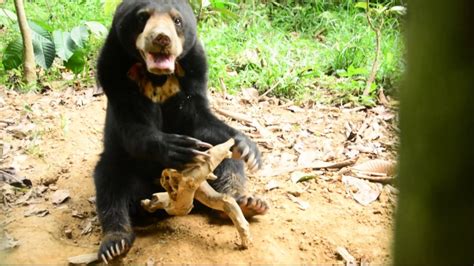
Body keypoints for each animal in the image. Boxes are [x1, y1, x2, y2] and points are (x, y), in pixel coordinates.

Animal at [94, 0, 268, 262]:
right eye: (142, 18)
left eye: (177, 20)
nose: (162, 38)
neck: (157, 77)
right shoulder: (113, 71)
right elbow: (133, 128)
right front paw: (179, 148)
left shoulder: (194, 69)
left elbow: (199, 119)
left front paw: (247, 148)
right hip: (121, 169)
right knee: (109, 183)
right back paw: (115, 243)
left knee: (228, 165)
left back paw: (248, 203)